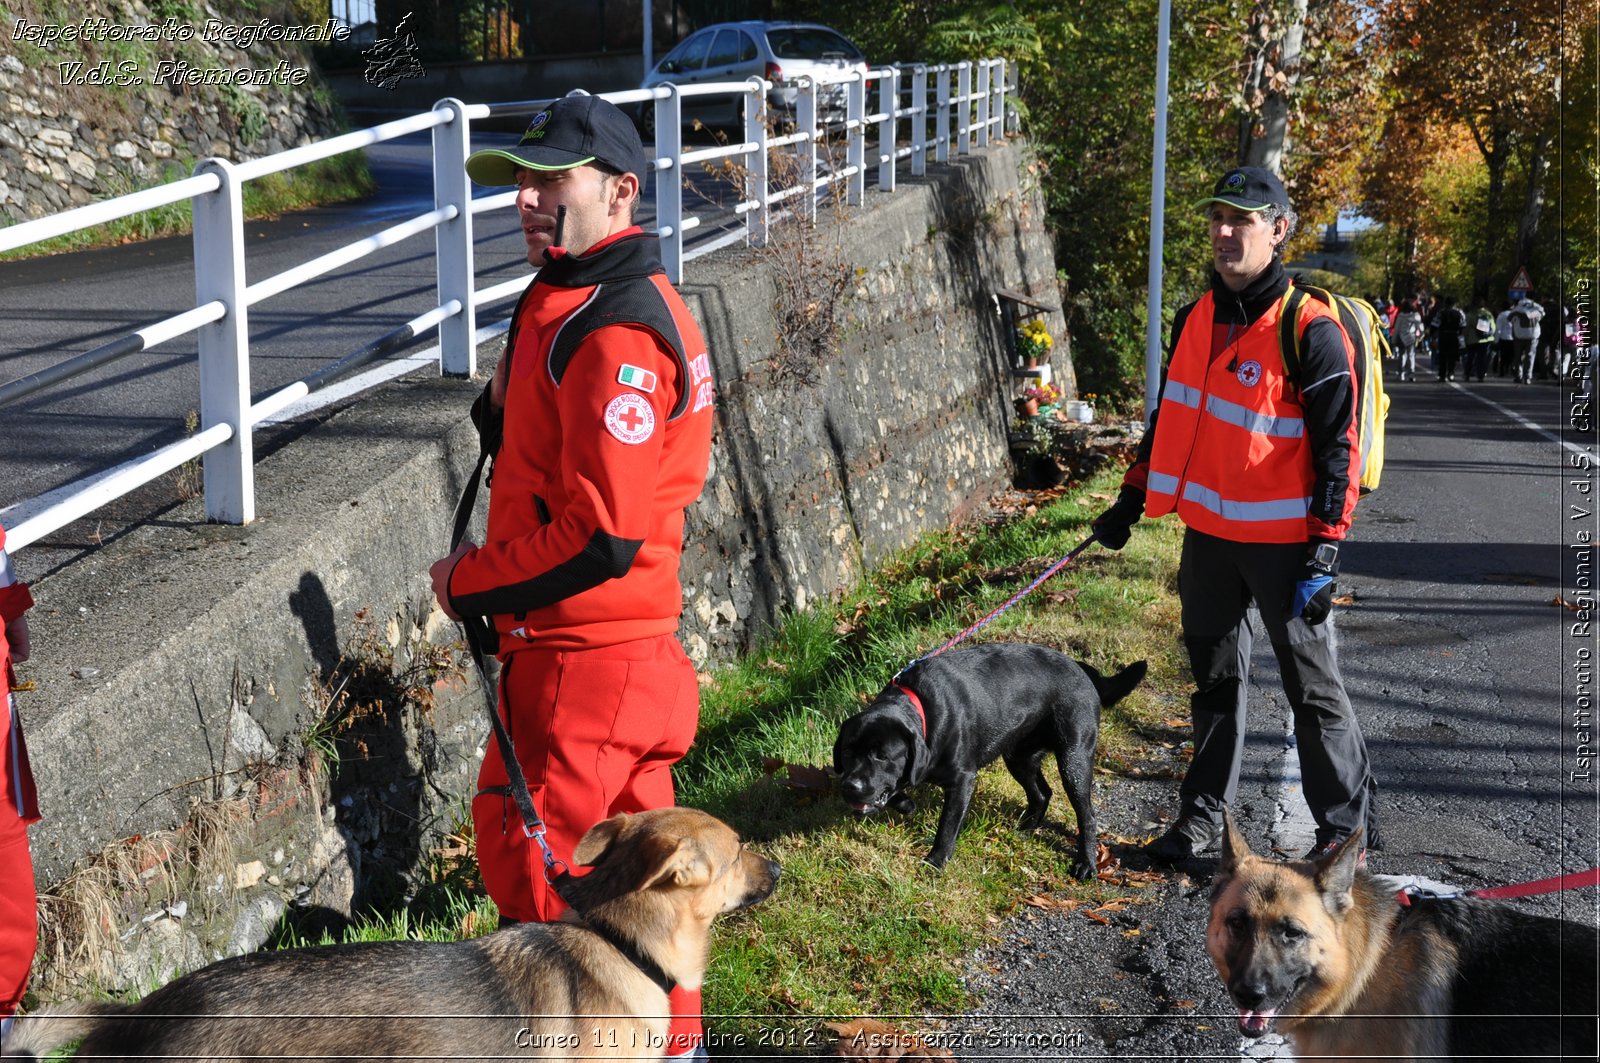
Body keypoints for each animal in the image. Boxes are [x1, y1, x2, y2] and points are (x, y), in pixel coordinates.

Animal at [832, 643, 1145, 877]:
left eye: (882, 756)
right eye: (847, 753)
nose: (850, 787)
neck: (923, 711)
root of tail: (1083, 669)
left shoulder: (962, 780)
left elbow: (947, 827)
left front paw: (935, 862)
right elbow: (898, 788)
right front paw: (907, 804)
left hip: (1073, 759)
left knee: (1087, 815)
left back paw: (1086, 864)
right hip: (1019, 756)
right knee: (1042, 793)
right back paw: (1024, 830)